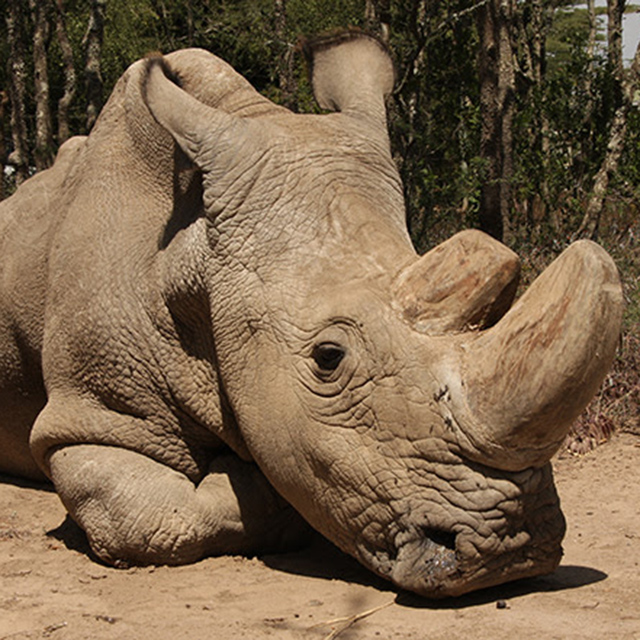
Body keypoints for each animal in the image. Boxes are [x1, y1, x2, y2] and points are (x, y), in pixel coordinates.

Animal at [0, 32, 623, 598]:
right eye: (328, 358)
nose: (513, 550)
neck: (194, 260)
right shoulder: (93, 415)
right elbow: (149, 520)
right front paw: (246, 478)